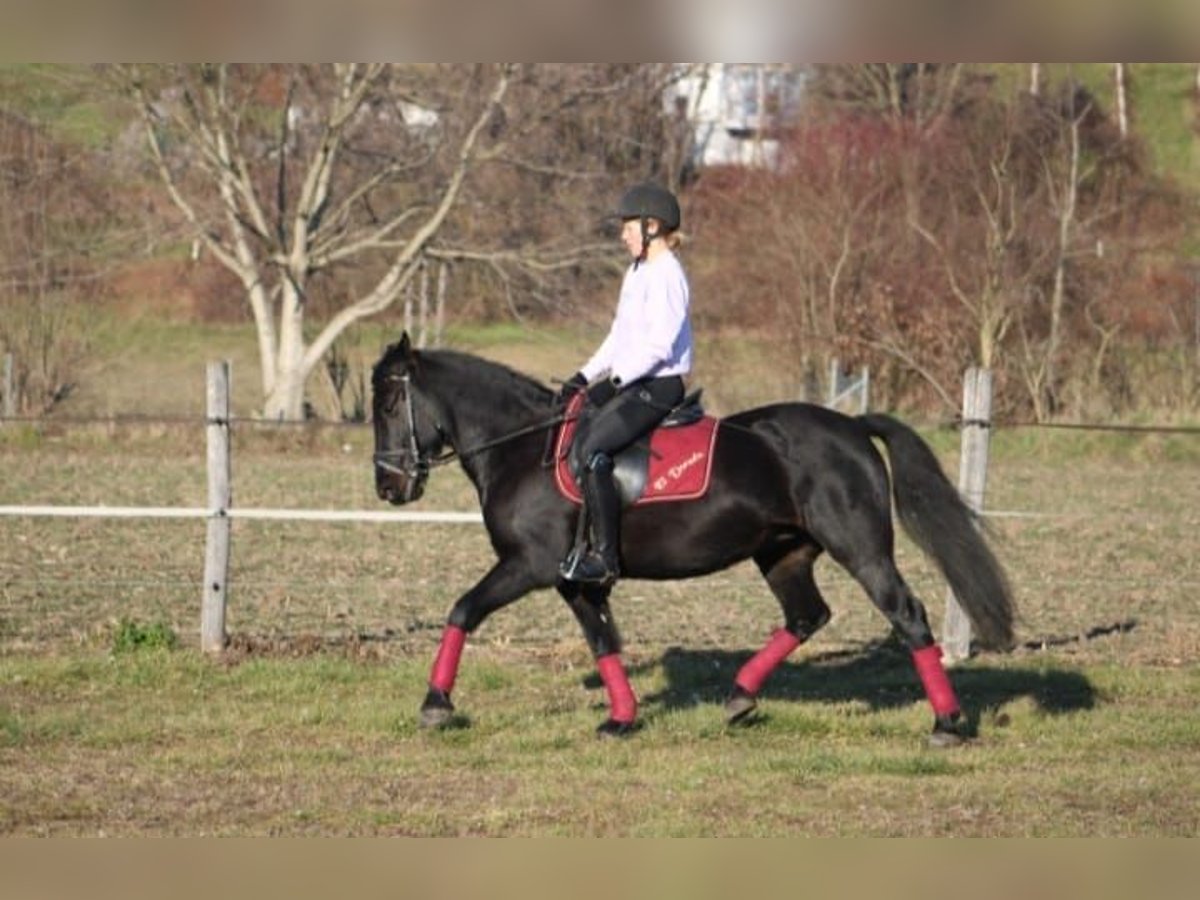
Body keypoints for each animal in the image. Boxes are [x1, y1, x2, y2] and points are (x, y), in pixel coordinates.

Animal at [372, 336, 1012, 744]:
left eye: (390, 402)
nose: (389, 486)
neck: (524, 447)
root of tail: (851, 426)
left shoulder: (528, 565)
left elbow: (462, 610)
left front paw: (435, 705)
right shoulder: (572, 579)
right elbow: (603, 642)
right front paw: (622, 719)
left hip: (860, 548)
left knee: (905, 613)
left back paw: (947, 725)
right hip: (783, 552)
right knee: (807, 616)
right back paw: (739, 699)